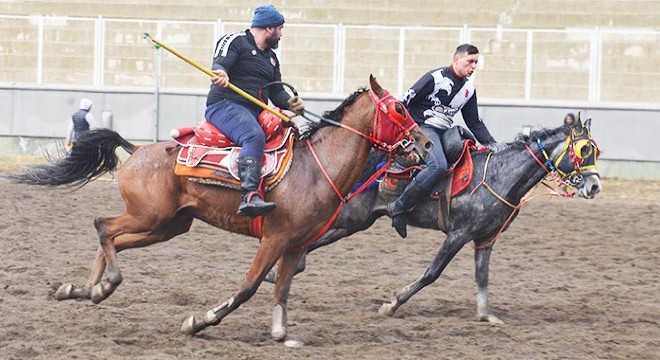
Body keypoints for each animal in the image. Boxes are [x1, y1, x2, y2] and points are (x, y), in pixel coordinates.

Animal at [10, 75, 436, 344]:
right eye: (399, 109)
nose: (426, 145)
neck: (315, 168)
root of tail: (136, 150)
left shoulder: (297, 243)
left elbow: (282, 290)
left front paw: (281, 333)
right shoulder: (274, 238)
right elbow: (249, 286)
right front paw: (199, 321)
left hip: (168, 225)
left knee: (112, 236)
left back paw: (84, 289)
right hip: (150, 217)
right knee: (103, 225)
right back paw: (102, 285)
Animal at [268, 115, 604, 324]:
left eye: (595, 151)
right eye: (582, 150)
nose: (594, 186)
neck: (498, 175)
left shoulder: (486, 238)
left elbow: (482, 276)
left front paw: (486, 314)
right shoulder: (458, 234)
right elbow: (432, 273)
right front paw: (392, 303)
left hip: (356, 221)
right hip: (349, 215)